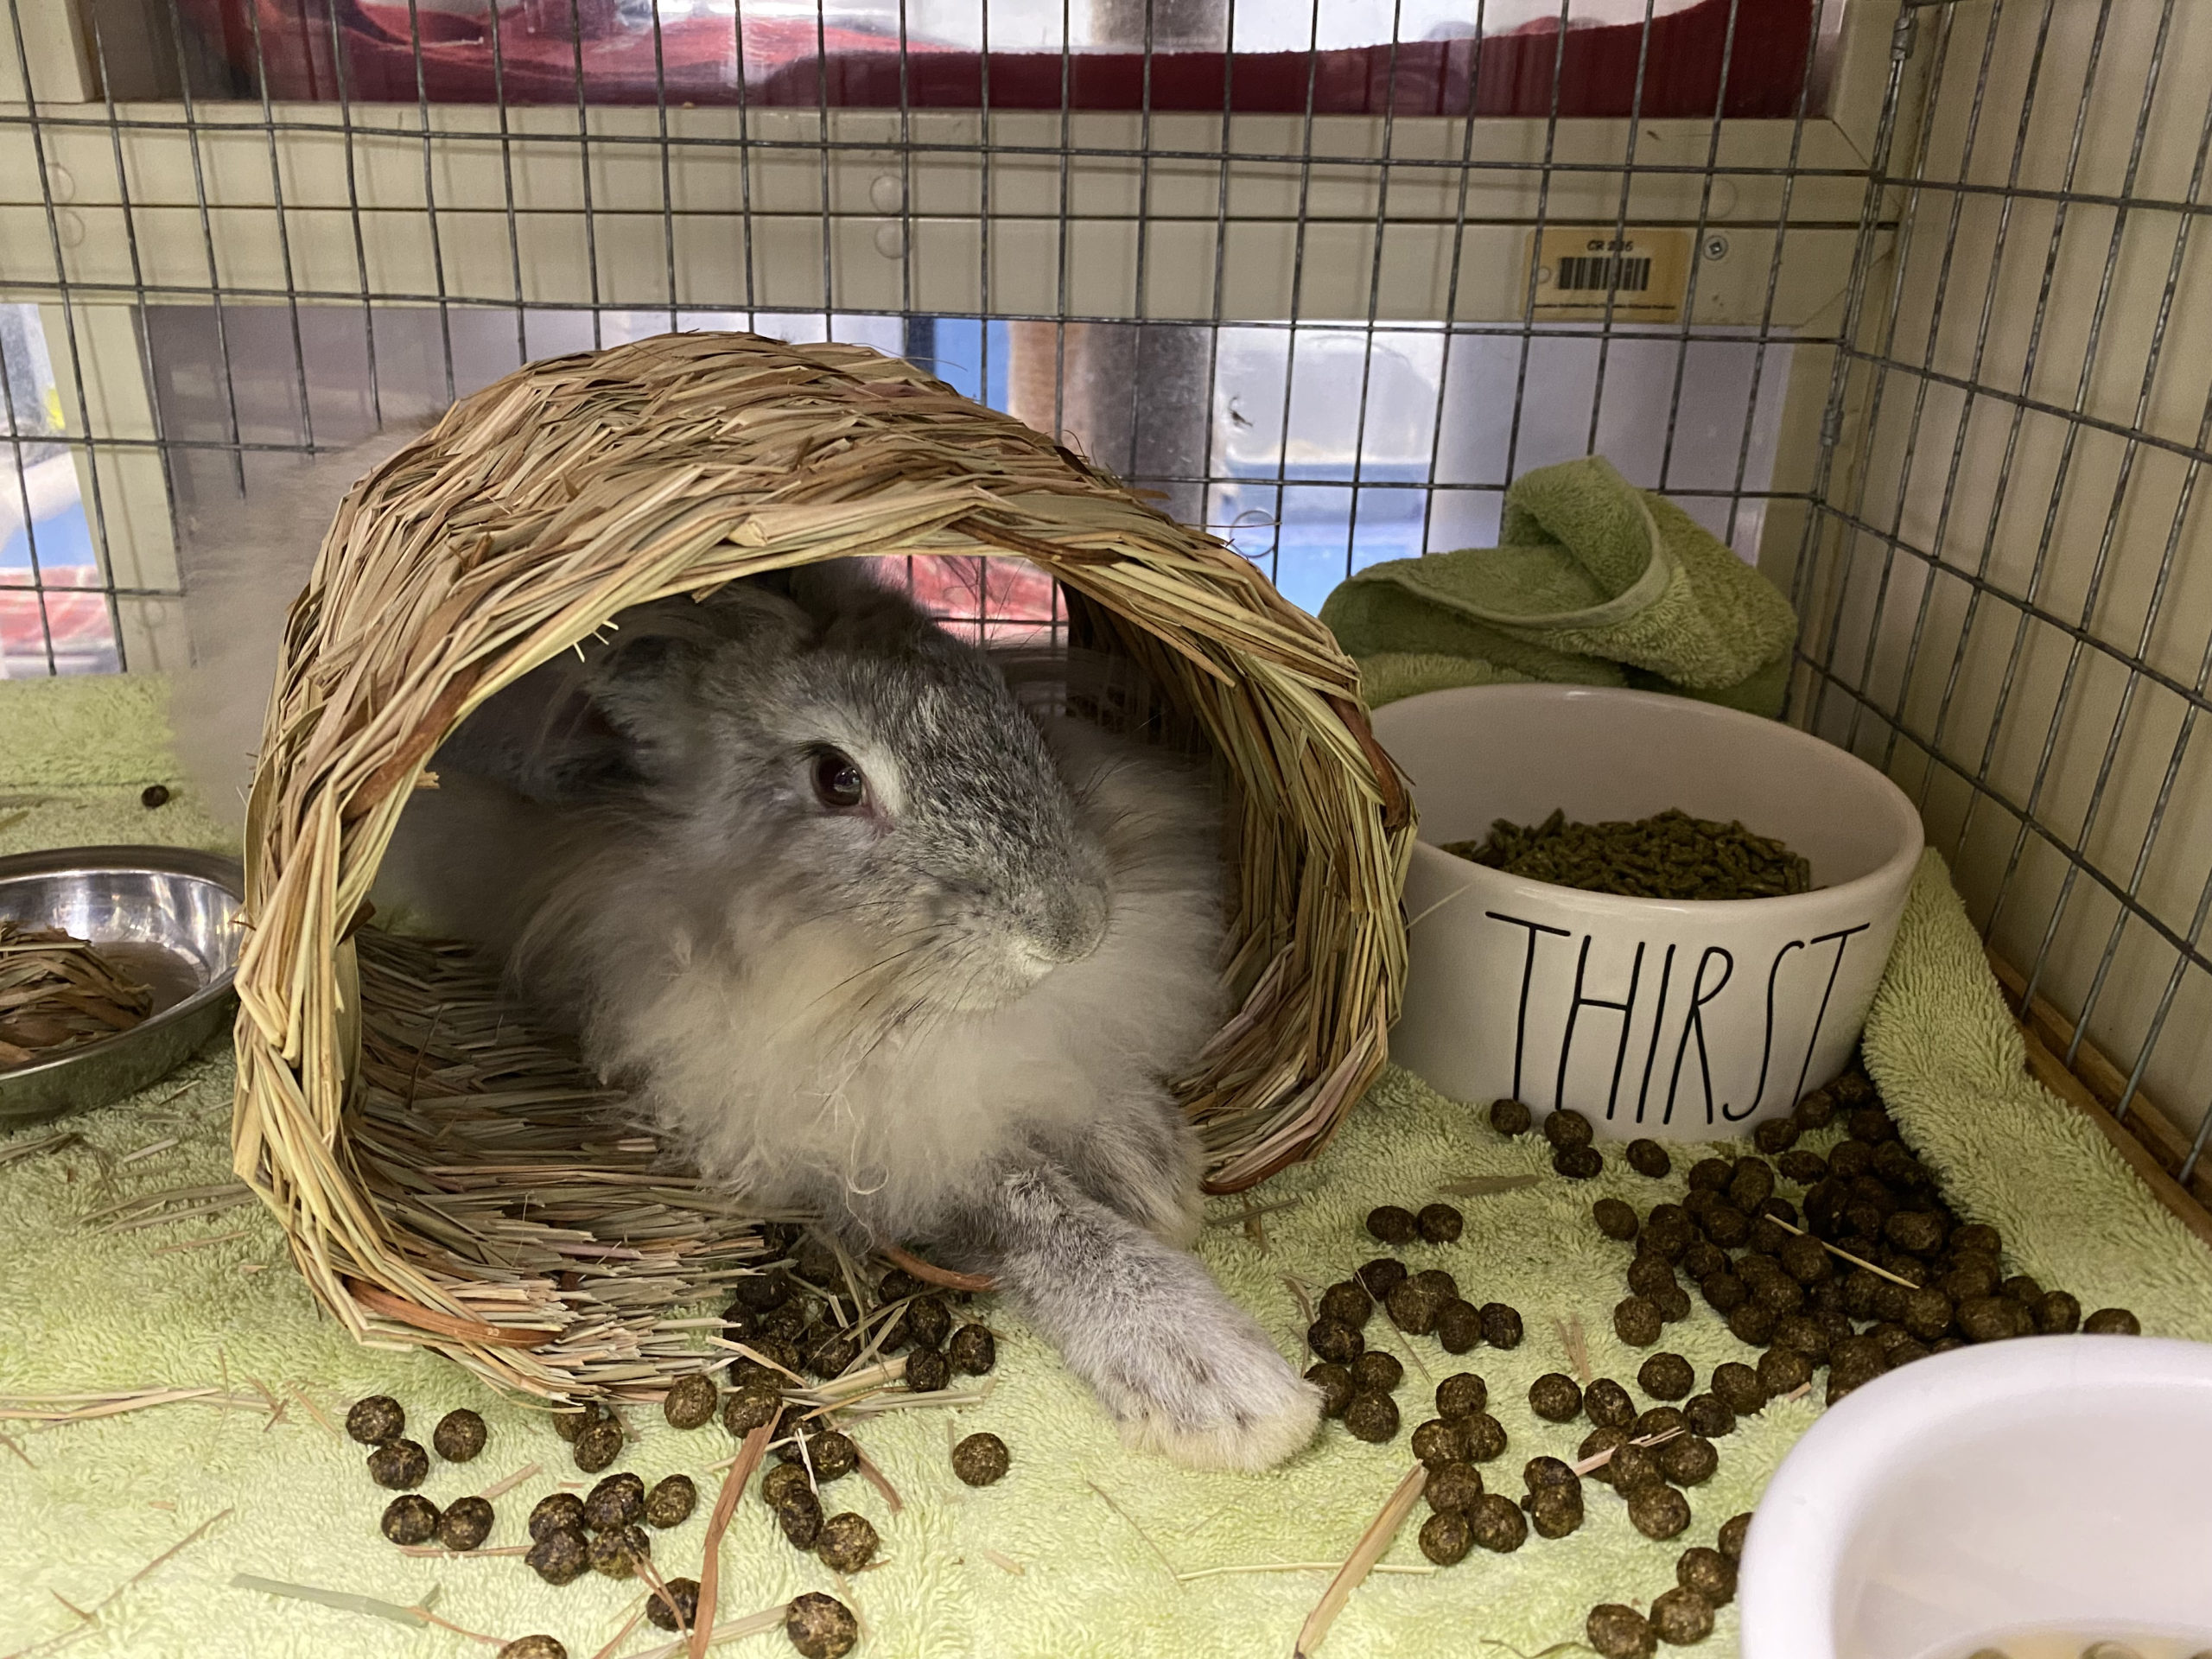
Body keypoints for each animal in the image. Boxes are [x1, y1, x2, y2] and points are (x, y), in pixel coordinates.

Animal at [176, 430, 1323, 1473]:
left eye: (993, 694)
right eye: (835, 779)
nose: (1073, 929)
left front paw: (1156, 1163)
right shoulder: (851, 1136)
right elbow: (1027, 1205)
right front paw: (1223, 1389)